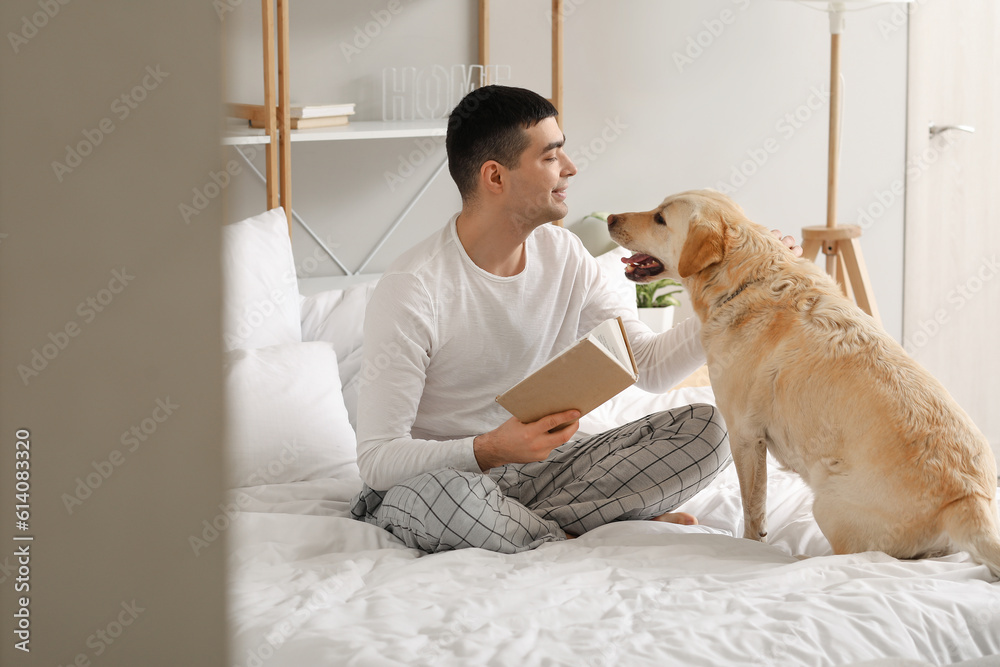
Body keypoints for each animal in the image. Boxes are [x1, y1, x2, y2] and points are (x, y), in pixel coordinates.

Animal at [604, 189, 996, 580]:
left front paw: (751, 544)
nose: (608, 217)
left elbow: (753, 507)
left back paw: (801, 559)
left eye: (660, 218)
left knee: (855, 556)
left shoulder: (743, 434)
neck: (746, 278)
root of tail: (968, 499)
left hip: (826, 501)